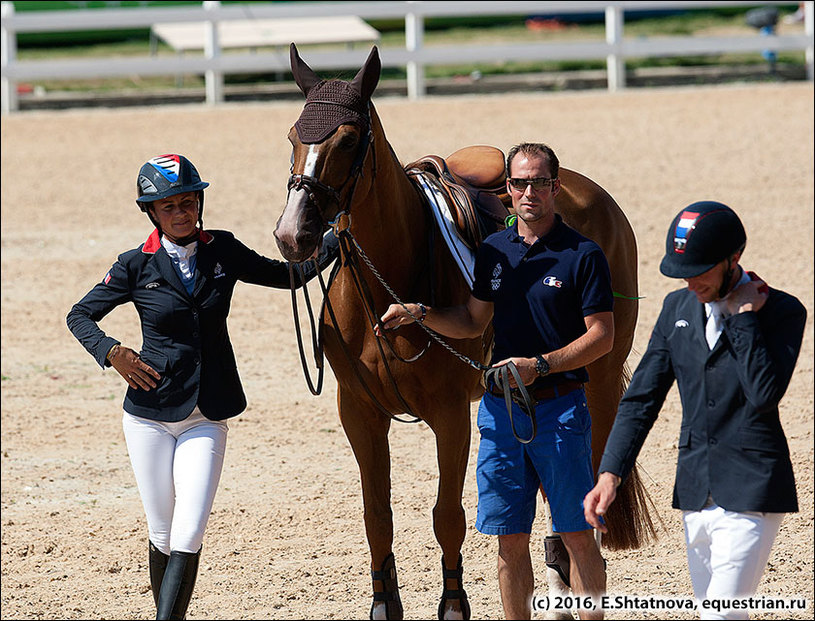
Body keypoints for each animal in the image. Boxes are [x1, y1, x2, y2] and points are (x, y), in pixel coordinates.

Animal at [274, 44, 656, 620]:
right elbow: (376, 514)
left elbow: (447, 515)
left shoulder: (450, 413)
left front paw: (454, 604)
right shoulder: (357, 410)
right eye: (295, 136)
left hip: (602, 379)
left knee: (585, 490)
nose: (292, 234)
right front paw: (384, 603)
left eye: (349, 139)